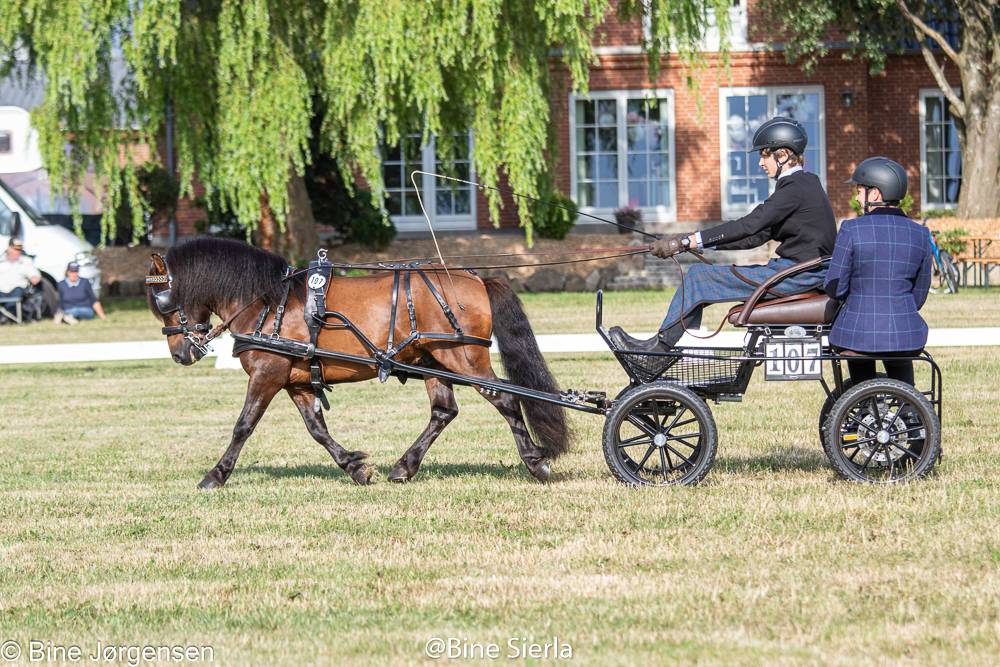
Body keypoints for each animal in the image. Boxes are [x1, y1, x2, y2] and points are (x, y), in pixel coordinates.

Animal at [145, 237, 570, 487]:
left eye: (163, 303)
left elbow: (243, 426)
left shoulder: (268, 373)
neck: (268, 302)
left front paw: (215, 475)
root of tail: (475, 279)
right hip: (435, 361)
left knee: (506, 399)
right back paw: (404, 467)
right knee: (443, 411)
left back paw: (536, 462)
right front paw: (354, 466)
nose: (181, 354)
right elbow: (317, 429)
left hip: (463, 358)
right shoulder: (296, 380)